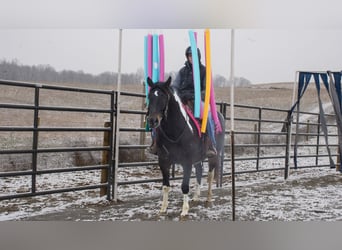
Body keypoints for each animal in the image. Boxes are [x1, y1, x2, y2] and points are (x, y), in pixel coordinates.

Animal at [146, 76, 226, 217]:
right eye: (150, 96)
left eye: (163, 97)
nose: (152, 120)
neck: (175, 131)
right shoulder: (163, 161)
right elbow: (165, 186)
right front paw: (163, 208)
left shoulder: (187, 162)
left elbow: (184, 186)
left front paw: (184, 210)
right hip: (198, 158)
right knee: (199, 172)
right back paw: (196, 196)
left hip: (214, 156)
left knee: (210, 175)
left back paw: (208, 198)